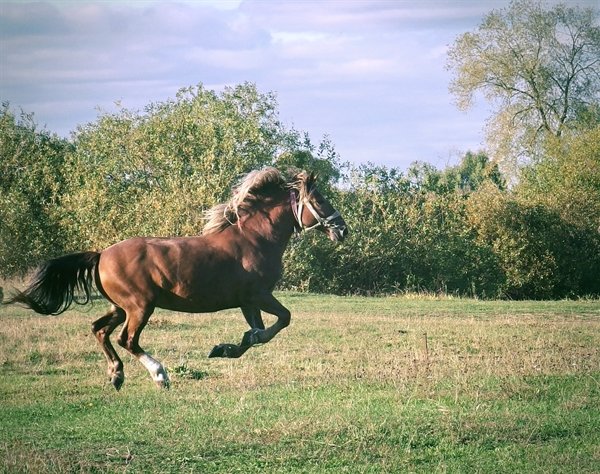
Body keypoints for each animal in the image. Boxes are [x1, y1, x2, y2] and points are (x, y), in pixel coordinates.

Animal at [5, 168, 346, 390]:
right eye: (320, 200)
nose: (342, 230)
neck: (255, 240)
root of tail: (101, 255)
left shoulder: (247, 301)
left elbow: (257, 333)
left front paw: (224, 349)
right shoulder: (258, 295)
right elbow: (280, 321)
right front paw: (224, 348)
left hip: (120, 308)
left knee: (100, 330)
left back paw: (116, 375)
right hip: (140, 306)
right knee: (127, 339)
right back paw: (159, 375)